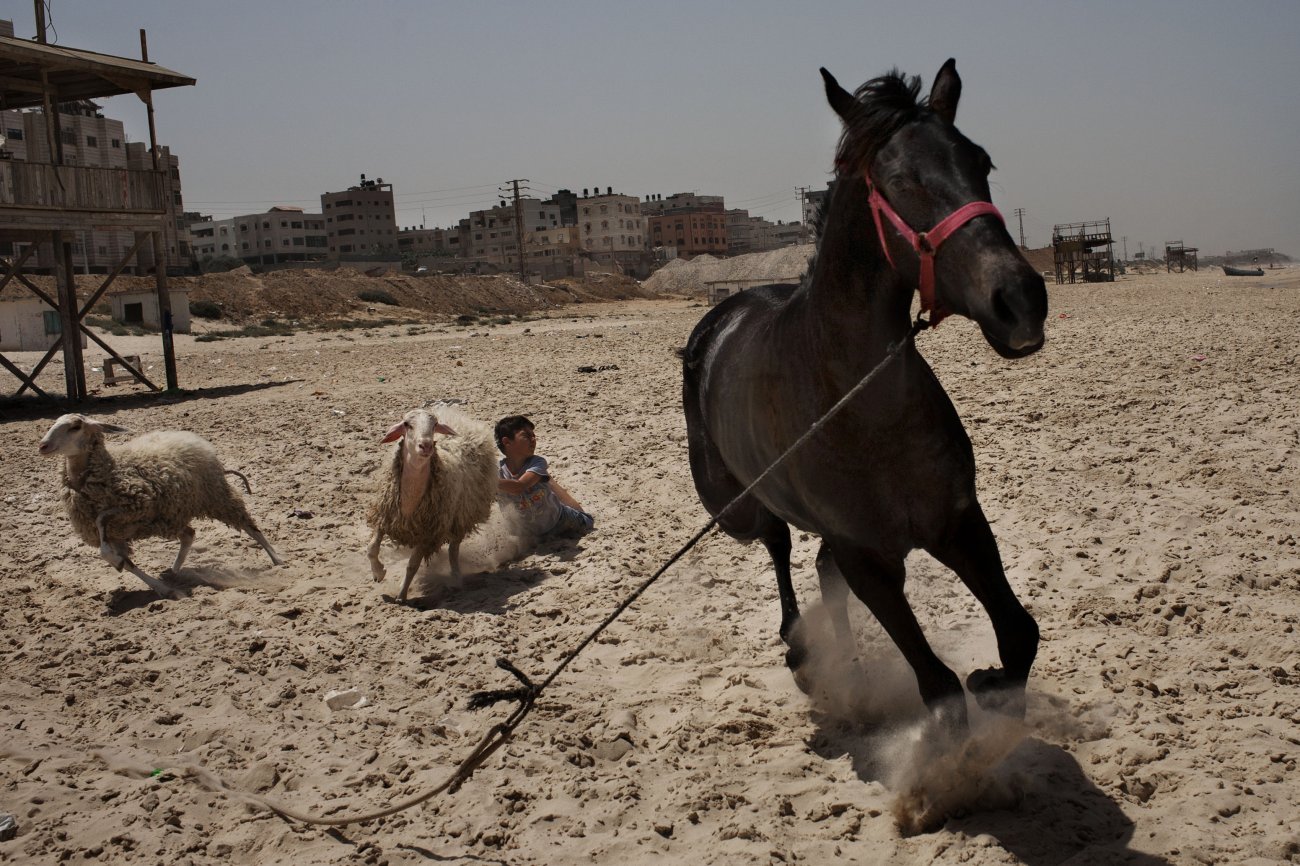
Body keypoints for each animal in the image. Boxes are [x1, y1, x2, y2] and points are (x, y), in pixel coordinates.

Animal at [37, 413, 284, 599]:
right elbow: (123, 561)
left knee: (250, 525)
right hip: (171, 515)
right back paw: (174, 572)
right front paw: (161, 587)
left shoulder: (134, 508)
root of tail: (190, 437)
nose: (43, 446)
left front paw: (117, 561)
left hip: (215, 495)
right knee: (189, 535)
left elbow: (102, 522)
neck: (110, 469)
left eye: (75, 426)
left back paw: (277, 559)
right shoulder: (116, 532)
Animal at [365, 405, 498, 603]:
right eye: (407, 424)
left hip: (460, 517)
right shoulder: (384, 517)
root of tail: (460, 419)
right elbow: (371, 549)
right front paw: (378, 573)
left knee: (453, 550)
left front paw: (402, 595)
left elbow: (412, 565)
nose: (426, 445)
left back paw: (456, 579)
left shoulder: (426, 533)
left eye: (434, 425)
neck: (410, 501)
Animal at [680, 60, 1047, 739]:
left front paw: (992, 683)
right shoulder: (870, 561)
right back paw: (801, 649)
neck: (860, 407)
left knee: (816, 567)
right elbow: (938, 690)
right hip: (733, 507)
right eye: (901, 180)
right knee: (776, 541)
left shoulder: (958, 523)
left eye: (981, 161)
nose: (1021, 300)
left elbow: (1017, 635)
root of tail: (719, 314)